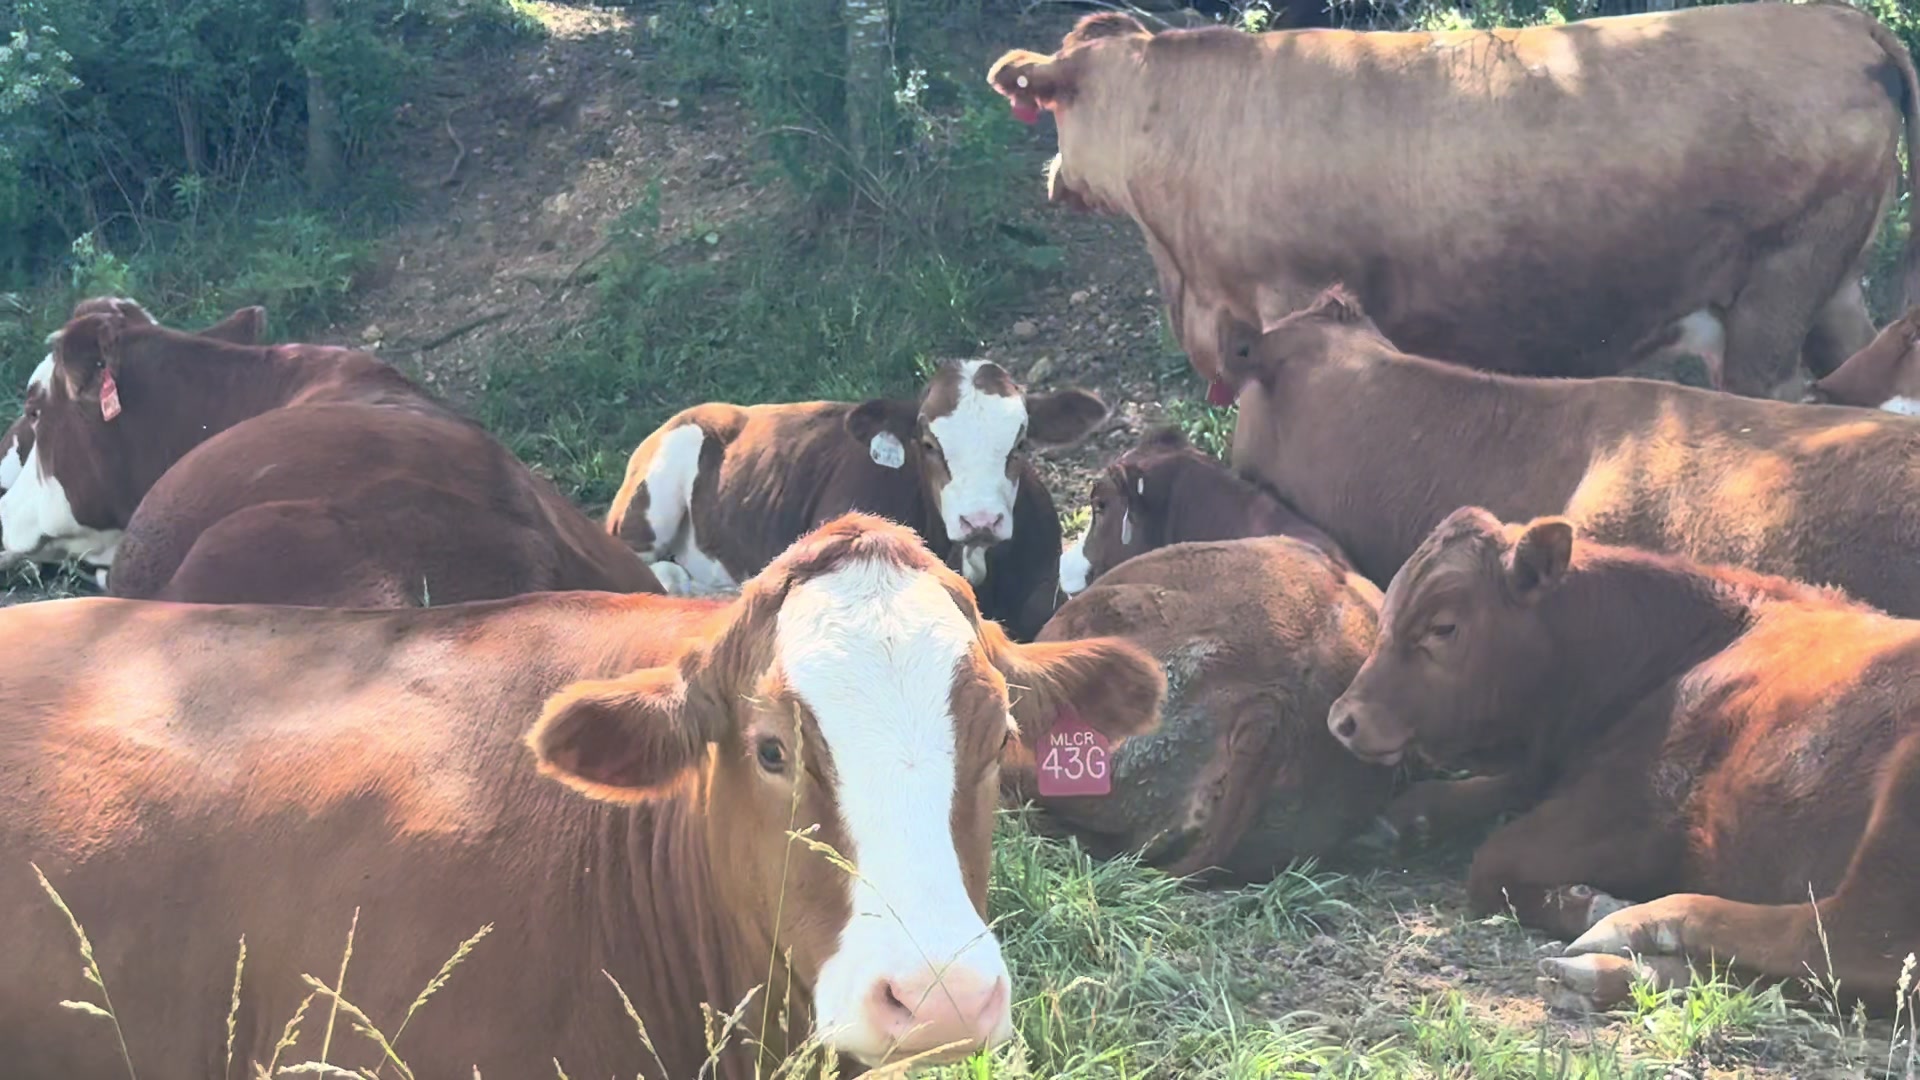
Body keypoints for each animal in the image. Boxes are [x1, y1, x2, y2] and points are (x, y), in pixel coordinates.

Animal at [987, 4, 1920, 398]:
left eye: (1053, 107)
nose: (1052, 180)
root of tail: (1841, 21)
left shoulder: (1291, 297)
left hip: (1776, 291)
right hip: (1834, 282)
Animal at [1325, 507, 1920, 1014]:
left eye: (1443, 627)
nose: (1343, 719)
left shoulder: (1635, 807)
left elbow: (1492, 861)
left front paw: (1594, 902)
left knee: (1849, 943)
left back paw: (1634, 927)